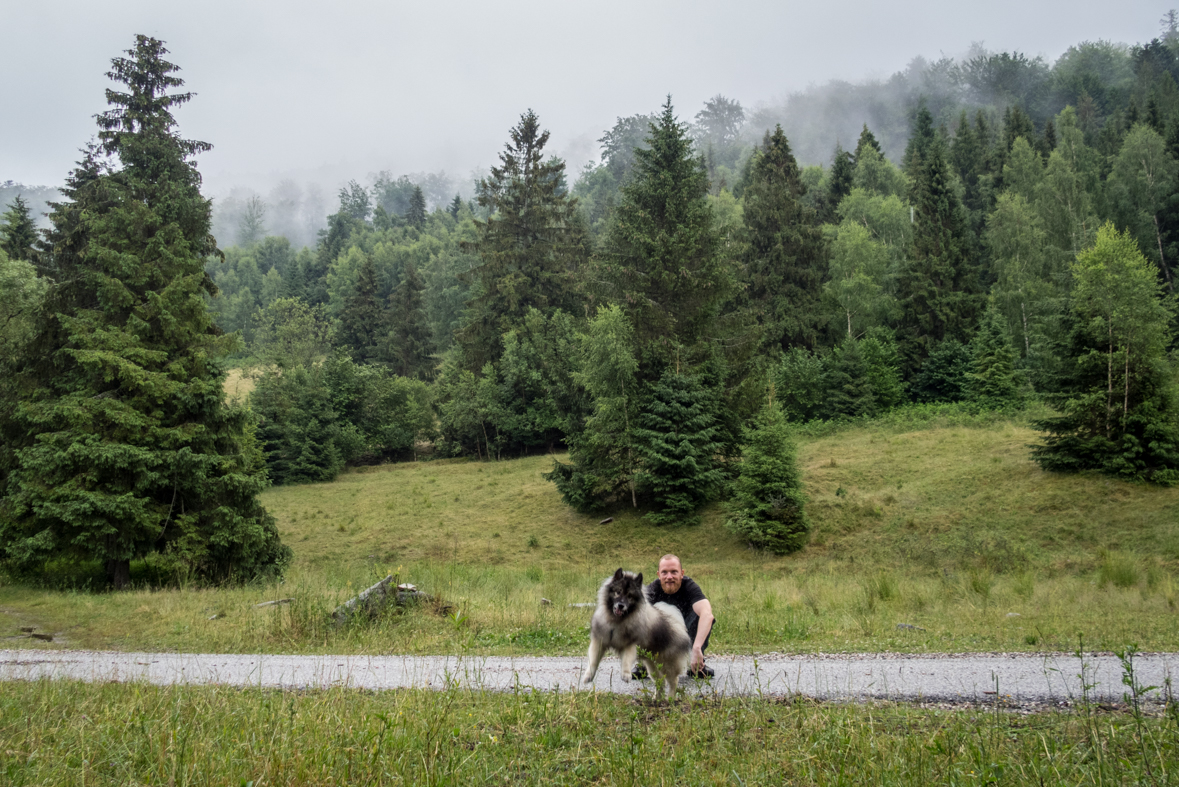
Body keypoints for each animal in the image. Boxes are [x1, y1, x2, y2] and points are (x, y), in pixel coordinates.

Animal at [580, 565, 688, 702]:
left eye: (630, 596)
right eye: (618, 592)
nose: (621, 605)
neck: (616, 621)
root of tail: (679, 625)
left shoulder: (630, 644)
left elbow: (626, 659)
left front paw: (626, 675)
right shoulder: (599, 642)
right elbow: (593, 661)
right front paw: (588, 676)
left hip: (666, 663)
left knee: (673, 681)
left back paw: (670, 698)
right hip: (651, 664)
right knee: (661, 682)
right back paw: (656, 699)